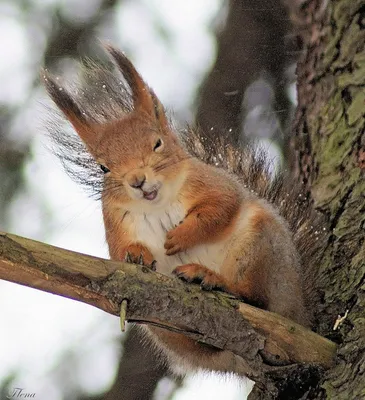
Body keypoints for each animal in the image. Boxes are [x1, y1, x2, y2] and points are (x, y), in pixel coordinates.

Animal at [43, 45, 322, 376]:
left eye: (157, 143)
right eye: (103, 167)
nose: (137, 181)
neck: (158, 203)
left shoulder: (212, 183)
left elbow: (221, 207)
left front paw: (180, 236)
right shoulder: (114, 220)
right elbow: (117, 252)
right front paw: (136, 253)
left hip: (262, 247)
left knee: (253, 297)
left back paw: (211, 278)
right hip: (163, 327)